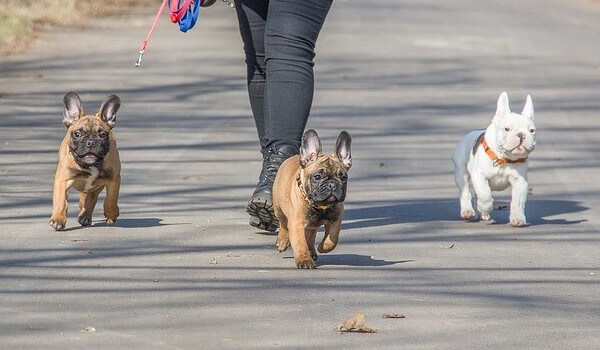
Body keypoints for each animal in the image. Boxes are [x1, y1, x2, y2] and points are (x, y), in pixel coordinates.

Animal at [50, 91, 123, 231]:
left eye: (103, 135)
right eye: (77, 134)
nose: (90, 142)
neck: (90, 165)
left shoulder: (113, 179)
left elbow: (111, 198)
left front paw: (111, 213)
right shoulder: (63, 180)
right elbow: (61, 201)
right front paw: (58, 219)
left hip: (97, 186)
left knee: (91, 198)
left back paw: (85, 215)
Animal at [274, 130, 352, 270]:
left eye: (343, 178)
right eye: (317, 177)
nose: (332, 185)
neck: (320, 205)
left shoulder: (336, 219)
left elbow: (333, 237)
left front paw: (323, 247)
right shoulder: (296, 224)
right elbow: (300, 243)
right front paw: (304, 260)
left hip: (312, 225)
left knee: (310, 235)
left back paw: (312, 251)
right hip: (278, 208)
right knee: (283, 223)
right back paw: (282, 241)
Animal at [452, 91, 536, 226]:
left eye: (532, 131)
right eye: (507, 129)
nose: (521, 135)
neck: (504, 159)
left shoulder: (520, 181)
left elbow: (518, 201)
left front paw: (518, 218)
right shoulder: (479, 176)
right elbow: (485, 194)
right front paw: (485, 208)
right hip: (461, 173)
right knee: (465, 192)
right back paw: (468, 211)